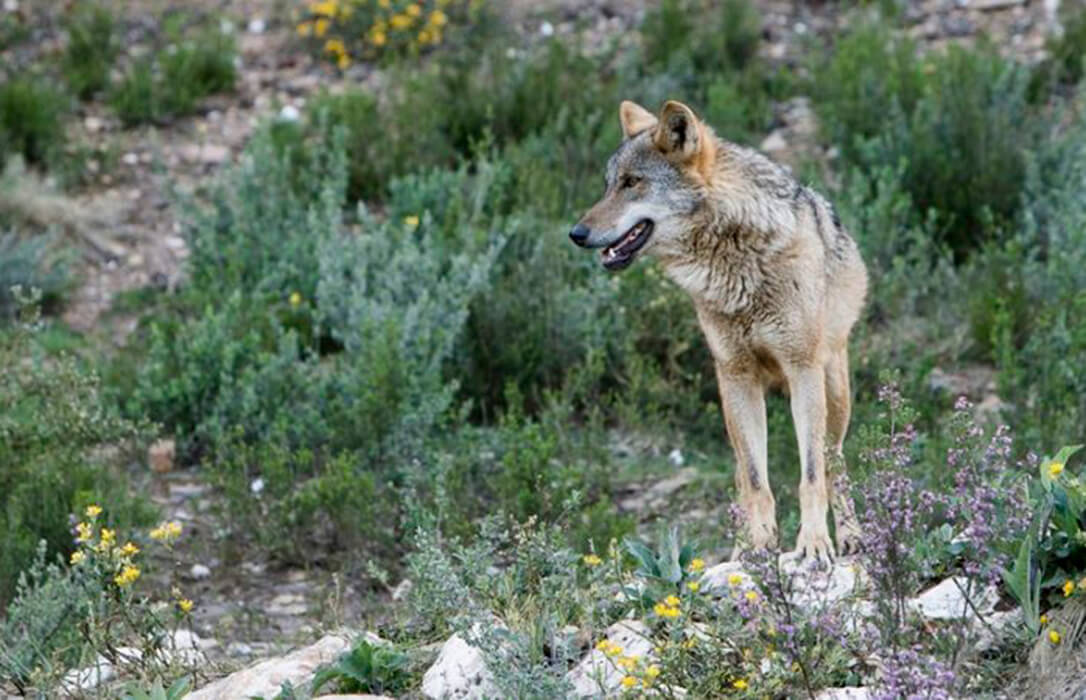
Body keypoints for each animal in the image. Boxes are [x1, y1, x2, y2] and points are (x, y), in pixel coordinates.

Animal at [569, 98, 864, 560]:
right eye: (608, 185)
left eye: (632, 183)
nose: (577, 233)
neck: (737, 259)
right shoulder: (736, 374)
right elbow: (757, 480)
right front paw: (756, 548)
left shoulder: (802, 369)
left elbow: (812, 475)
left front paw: (814, 543)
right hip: (732, 398)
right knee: (743, 473)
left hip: (834, 391)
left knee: (835, 461)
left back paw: (851, 536)